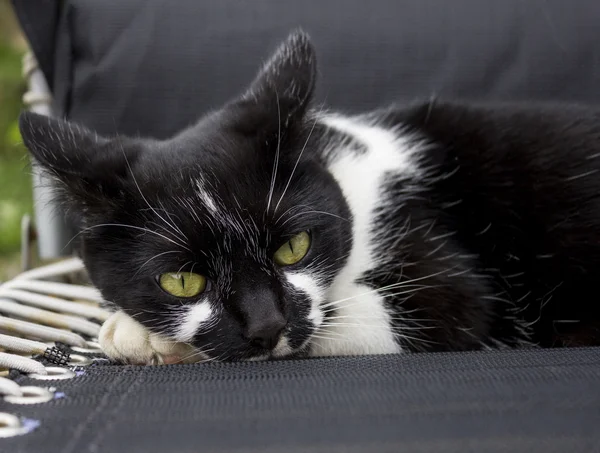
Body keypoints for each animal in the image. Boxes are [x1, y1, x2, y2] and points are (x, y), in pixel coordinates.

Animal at [17, 30, 600, 364]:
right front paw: (134, 328)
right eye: (182, 281)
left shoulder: (443, 276)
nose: (267, 326)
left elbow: (380, 316)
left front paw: (145, 338)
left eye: (293, 247)